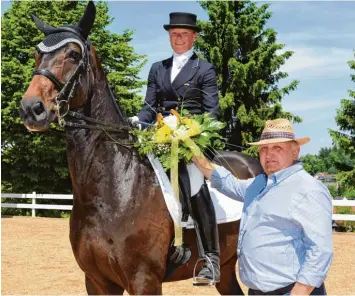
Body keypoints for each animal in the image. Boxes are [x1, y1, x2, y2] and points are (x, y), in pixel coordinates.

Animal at [19, 1, 264, 294]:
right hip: (227, 268)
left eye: (74, 54)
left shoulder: (144, 279)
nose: (31, 109)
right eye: (37, 54)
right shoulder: (97, 281)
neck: (112, 188)